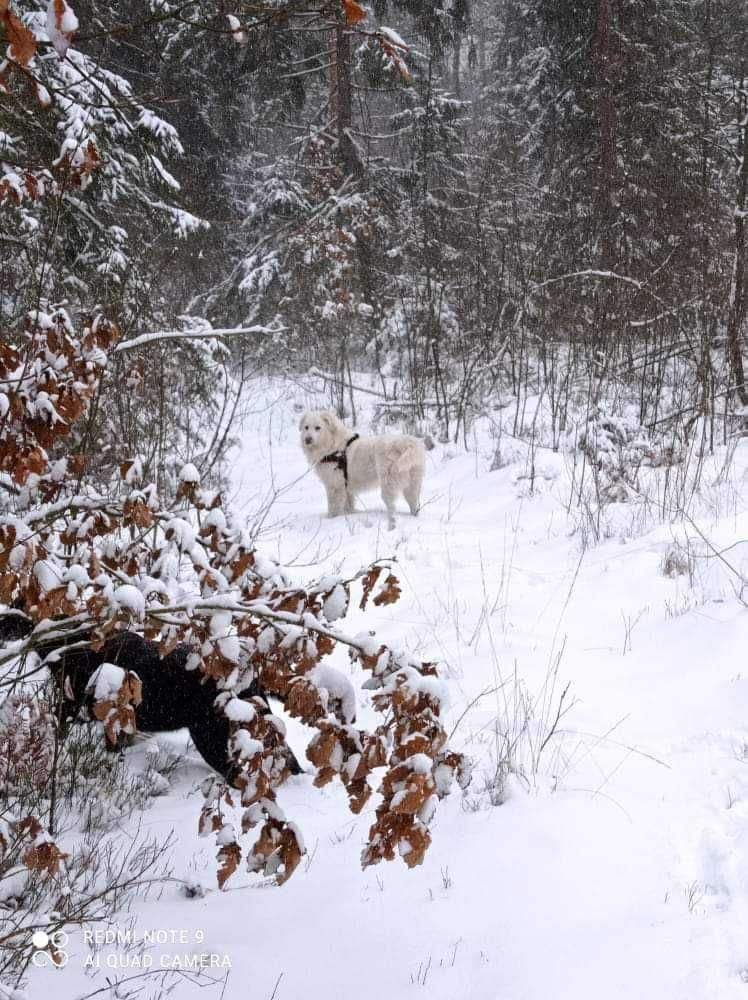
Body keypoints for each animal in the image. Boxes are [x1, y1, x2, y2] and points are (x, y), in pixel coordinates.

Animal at [298, 408, 426, 528]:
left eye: (317, 428)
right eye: (306, 427)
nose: (307, 439)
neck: (333, 446)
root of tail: (406, 443)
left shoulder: (334, 486)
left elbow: (333, 507)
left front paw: (331, 519)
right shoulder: (346, 487)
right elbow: (348, 505)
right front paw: (349, 515)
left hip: (388, 485)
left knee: (392, 509)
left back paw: (391, 524)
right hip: (412, 485)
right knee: (414, 505)